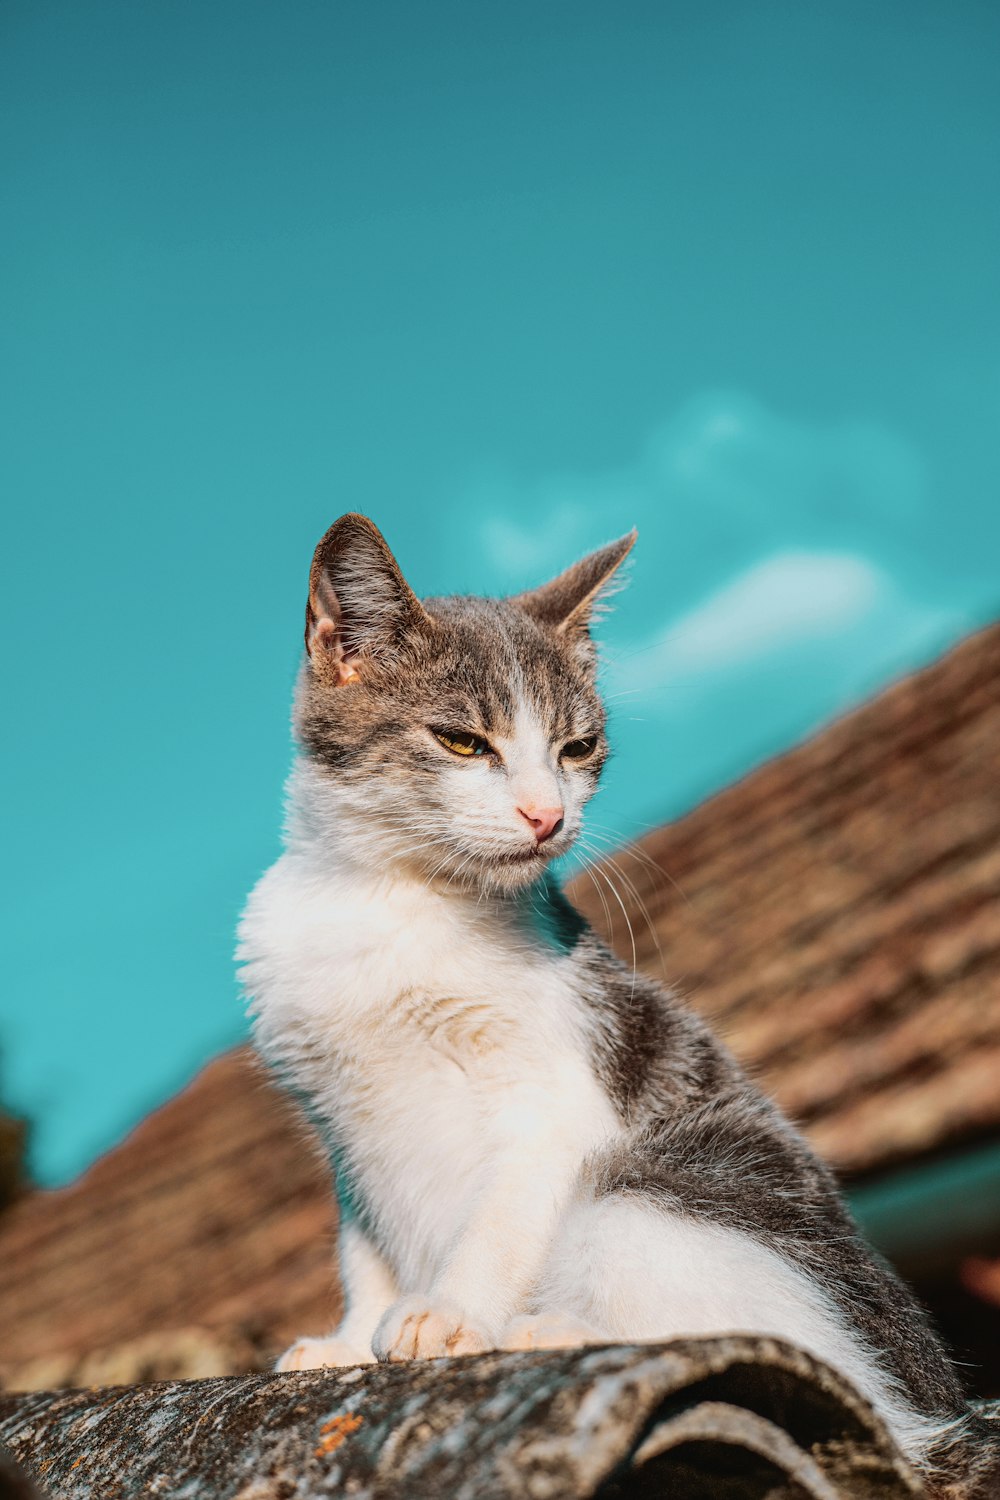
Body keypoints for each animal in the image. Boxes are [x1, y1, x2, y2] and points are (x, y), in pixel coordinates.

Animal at [239, 516, 995, 1488]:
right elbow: (362, 1248)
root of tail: (938, 1409)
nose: (545, 816)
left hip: (660, 1182)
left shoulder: (559, 1096)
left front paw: (447, 1313)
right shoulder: (339, 1125)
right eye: (462, 742)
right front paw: (347, 1336)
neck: (391, 899)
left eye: (575, 748)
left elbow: (501, 1217)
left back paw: (551, 1329)